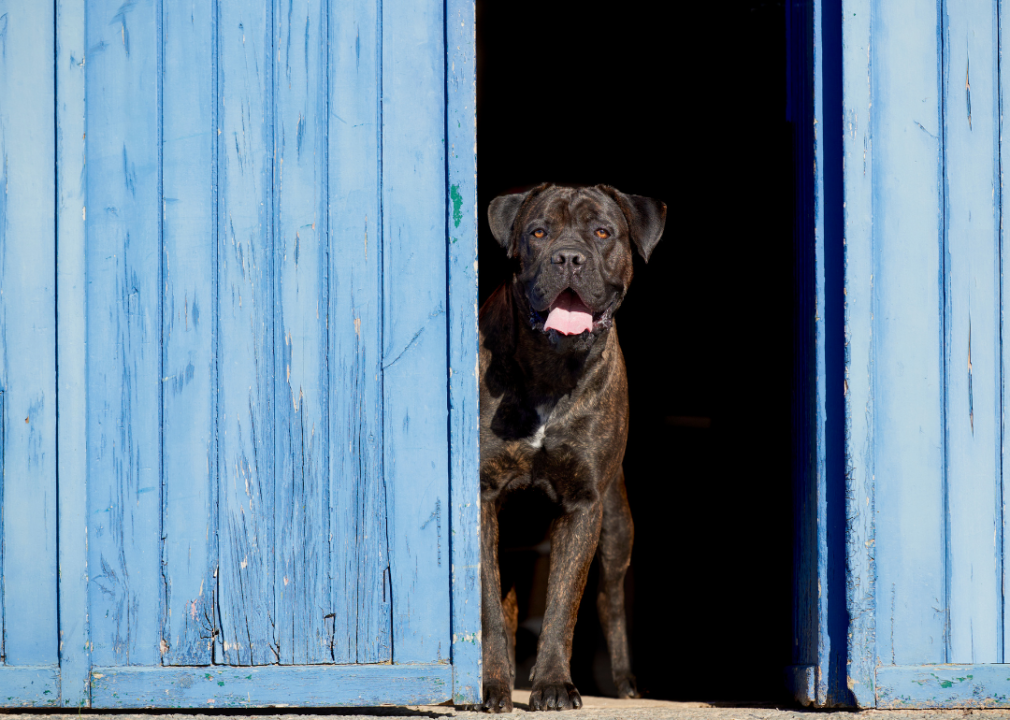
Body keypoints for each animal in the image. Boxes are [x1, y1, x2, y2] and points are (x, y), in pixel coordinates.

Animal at [478, 182, 666, 710]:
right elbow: (488, 606)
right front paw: (494, 684)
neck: (551, 369)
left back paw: (625, 684)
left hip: (616, 528)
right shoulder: (483, 498)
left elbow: (563, 606)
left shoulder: (584, 505)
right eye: (539, 232)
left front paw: (553, 685)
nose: (568, 257)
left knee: (609, 601)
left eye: (602, 232)